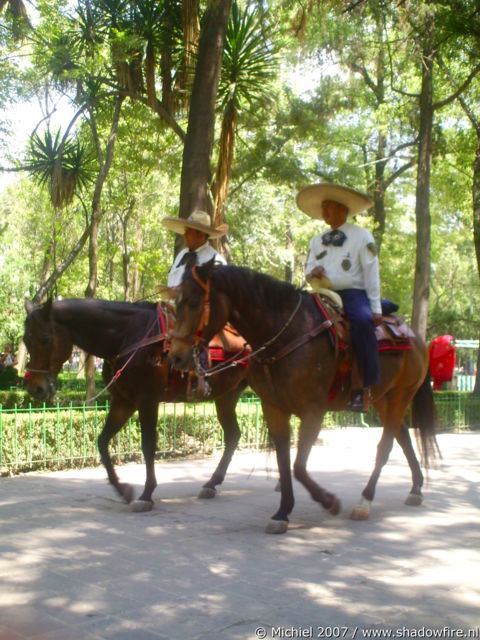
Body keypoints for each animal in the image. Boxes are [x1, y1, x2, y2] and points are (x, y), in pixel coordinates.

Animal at [22, 298, 248, 512]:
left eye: (44, 339)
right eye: (25, 340)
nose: (35, 388)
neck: (127, 337)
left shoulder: (148, 400)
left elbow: (148, 446)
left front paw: (146, 494)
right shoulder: (124, 401)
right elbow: (102, 442)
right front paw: (122, 489)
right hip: (226, 397)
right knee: (233, 434)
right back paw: (211, 483)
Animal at [168, 260, 438, 536]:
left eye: (194, 302)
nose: (176, 356)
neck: (286, 334)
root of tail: (415, 337)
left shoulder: (313, 411)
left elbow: (298, 466)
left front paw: (329, 502)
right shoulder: (274, 408)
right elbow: (284, 459)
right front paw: (283, 511)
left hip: (401, 395)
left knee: (386, 446)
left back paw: (365, 500)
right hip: (382, 398)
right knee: (403, 436)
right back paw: (416, 488)